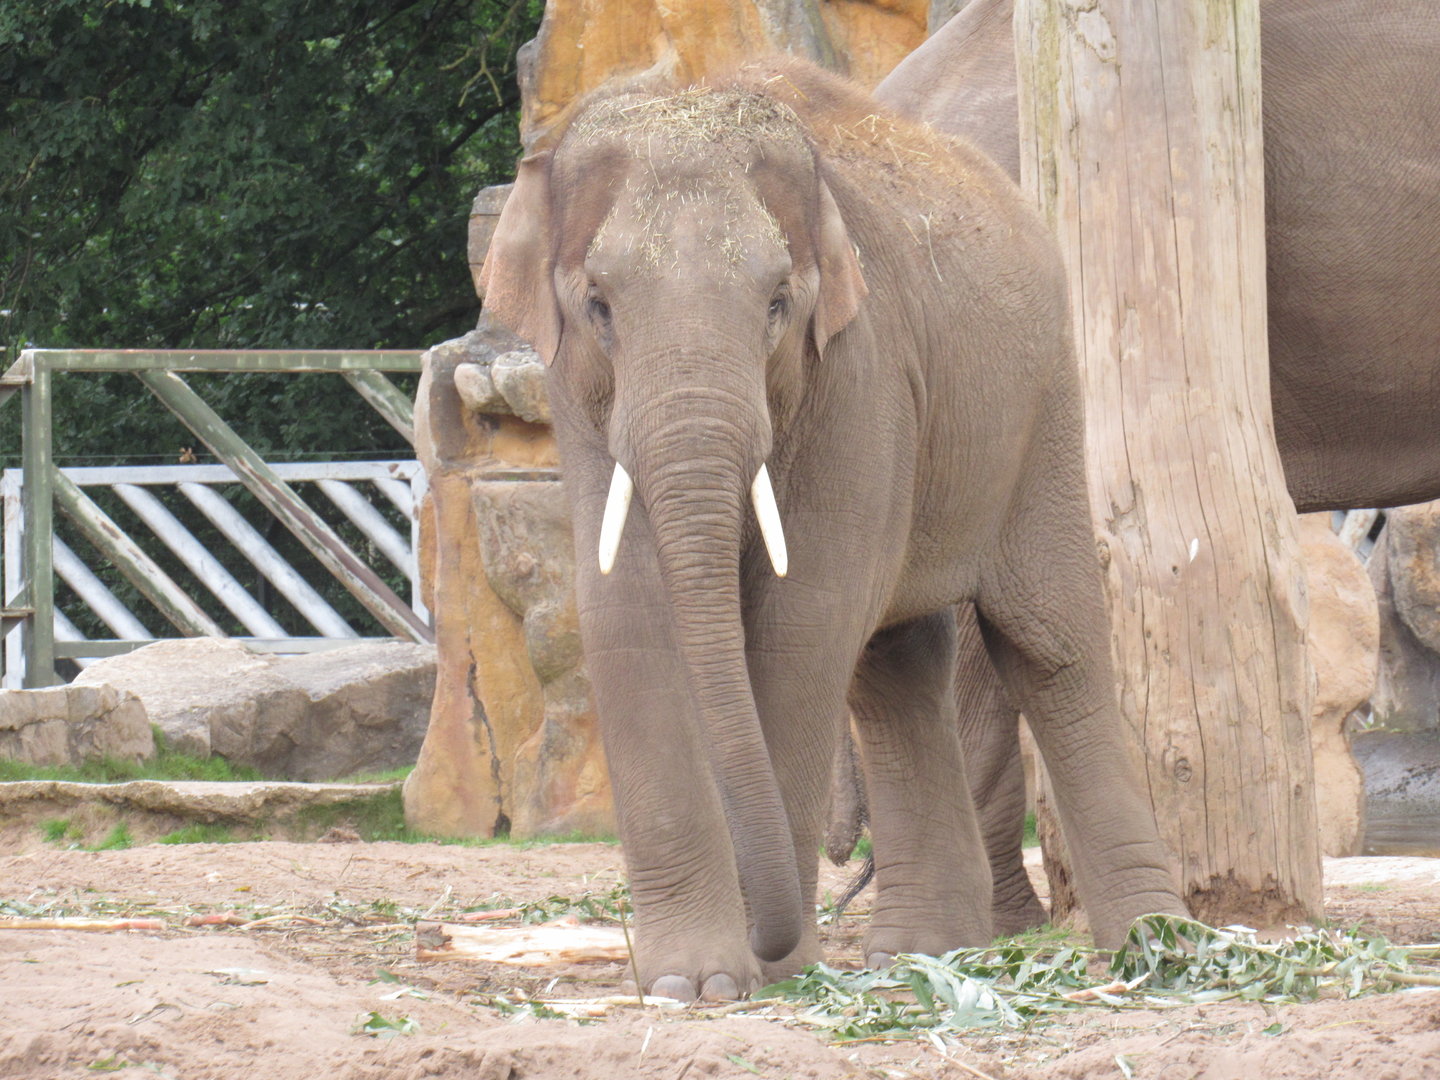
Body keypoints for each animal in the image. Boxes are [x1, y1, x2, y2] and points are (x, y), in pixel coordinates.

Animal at [480, 58, 1186, 1001]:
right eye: (598, 305)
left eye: (779, 302)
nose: (768, 940)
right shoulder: (578, 399)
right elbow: (626, 619)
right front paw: (691, 984)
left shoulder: (861, 371)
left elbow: (802, 623)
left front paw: (755, 974)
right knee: (898, 663)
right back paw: (927, 953)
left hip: (1044, 410)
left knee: (1051, 643)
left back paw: (1157, 945)